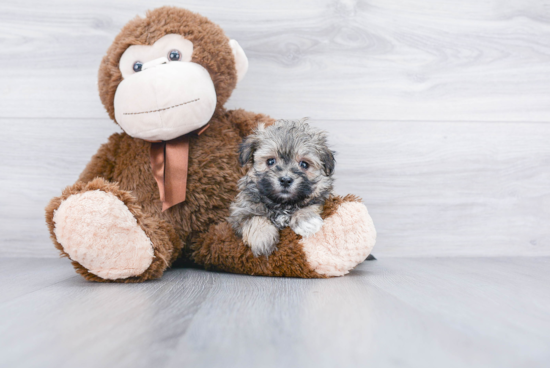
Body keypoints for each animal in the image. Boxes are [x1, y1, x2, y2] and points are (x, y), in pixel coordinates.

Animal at [229, 118, 336, 256]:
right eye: (270, 161)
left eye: (304, 164)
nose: (285, 180)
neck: (282, 204)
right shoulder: (240, 212)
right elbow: (254, 218)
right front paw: (262, 238)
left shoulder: (320, 198)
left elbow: (309, 205)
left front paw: (306, 220)